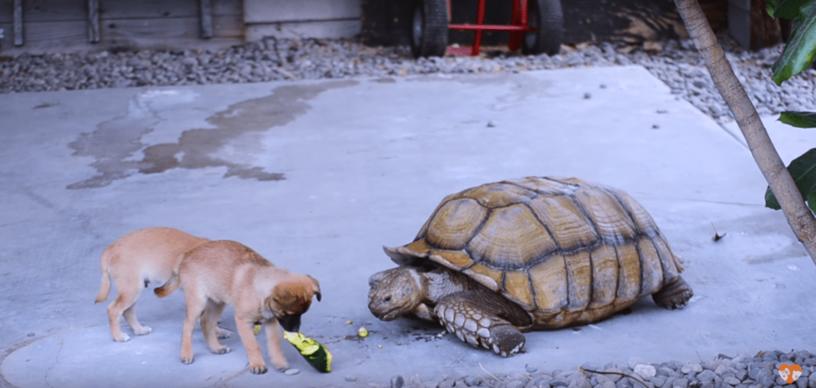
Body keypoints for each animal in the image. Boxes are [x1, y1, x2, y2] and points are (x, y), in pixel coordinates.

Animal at [155, 239, 320, 372]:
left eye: (302, 314)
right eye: (288, 313)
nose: (295, 330)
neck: (260, 290)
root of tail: (186, 255)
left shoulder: (271, 321)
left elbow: (274, 344)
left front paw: (279, 362)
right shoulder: (243, 321)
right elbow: (253, 345)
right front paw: (257, 364)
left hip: (217, 302)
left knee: (206, 323)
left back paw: (216, 348)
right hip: (198, 302)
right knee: (188, 326)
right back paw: (186, 354)